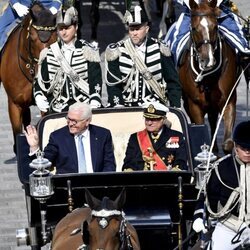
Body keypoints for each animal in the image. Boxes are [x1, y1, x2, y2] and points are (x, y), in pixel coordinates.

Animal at [179, 0, 239, 153]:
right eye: (194, 28)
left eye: (215, 26)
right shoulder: (195, 105)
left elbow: (228, 143)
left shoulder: (228, 100)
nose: (208, 60)